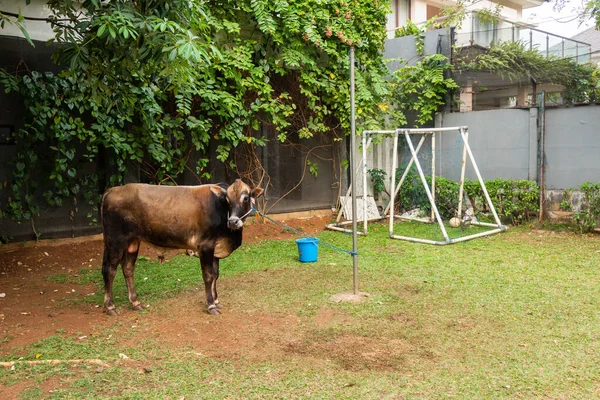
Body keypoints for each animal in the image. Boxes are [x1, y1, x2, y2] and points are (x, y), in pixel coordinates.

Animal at [100, 180, 262, 314]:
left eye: (245, 198)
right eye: (227, 199)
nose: (233, 221)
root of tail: (112, 190)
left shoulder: (215, 248)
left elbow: (216, 274)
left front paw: (216, 301)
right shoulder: (205, 246)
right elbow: (208, 275)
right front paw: (211, 305)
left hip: (133, 242)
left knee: (128, 268)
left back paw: (135, 302)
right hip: (115, 240)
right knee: (110, 270)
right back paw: (110, 306)